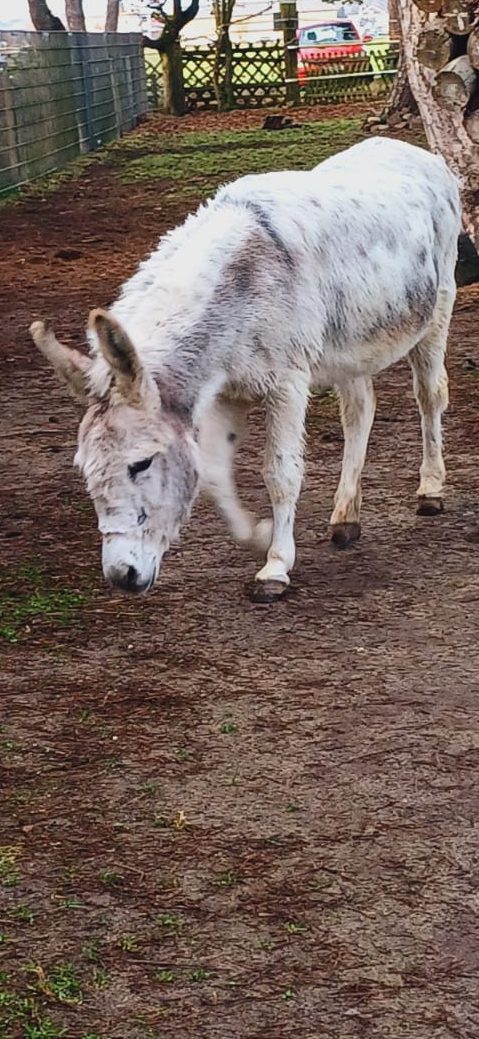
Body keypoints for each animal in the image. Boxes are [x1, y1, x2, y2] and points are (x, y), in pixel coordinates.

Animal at [30, 136, 461, 603]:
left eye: (141, 464)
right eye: (84, 469)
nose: (121, 576)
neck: (245, 281)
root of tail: (414, 151)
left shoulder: (288, 384)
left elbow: (281, 473)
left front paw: (275, 568)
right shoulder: (225, 390)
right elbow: (215, 476)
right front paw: (260, 535)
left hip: (437, 309)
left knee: (429, 395)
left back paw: (431, 490)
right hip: (352, 346)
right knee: (360, 411)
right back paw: (346, 517)